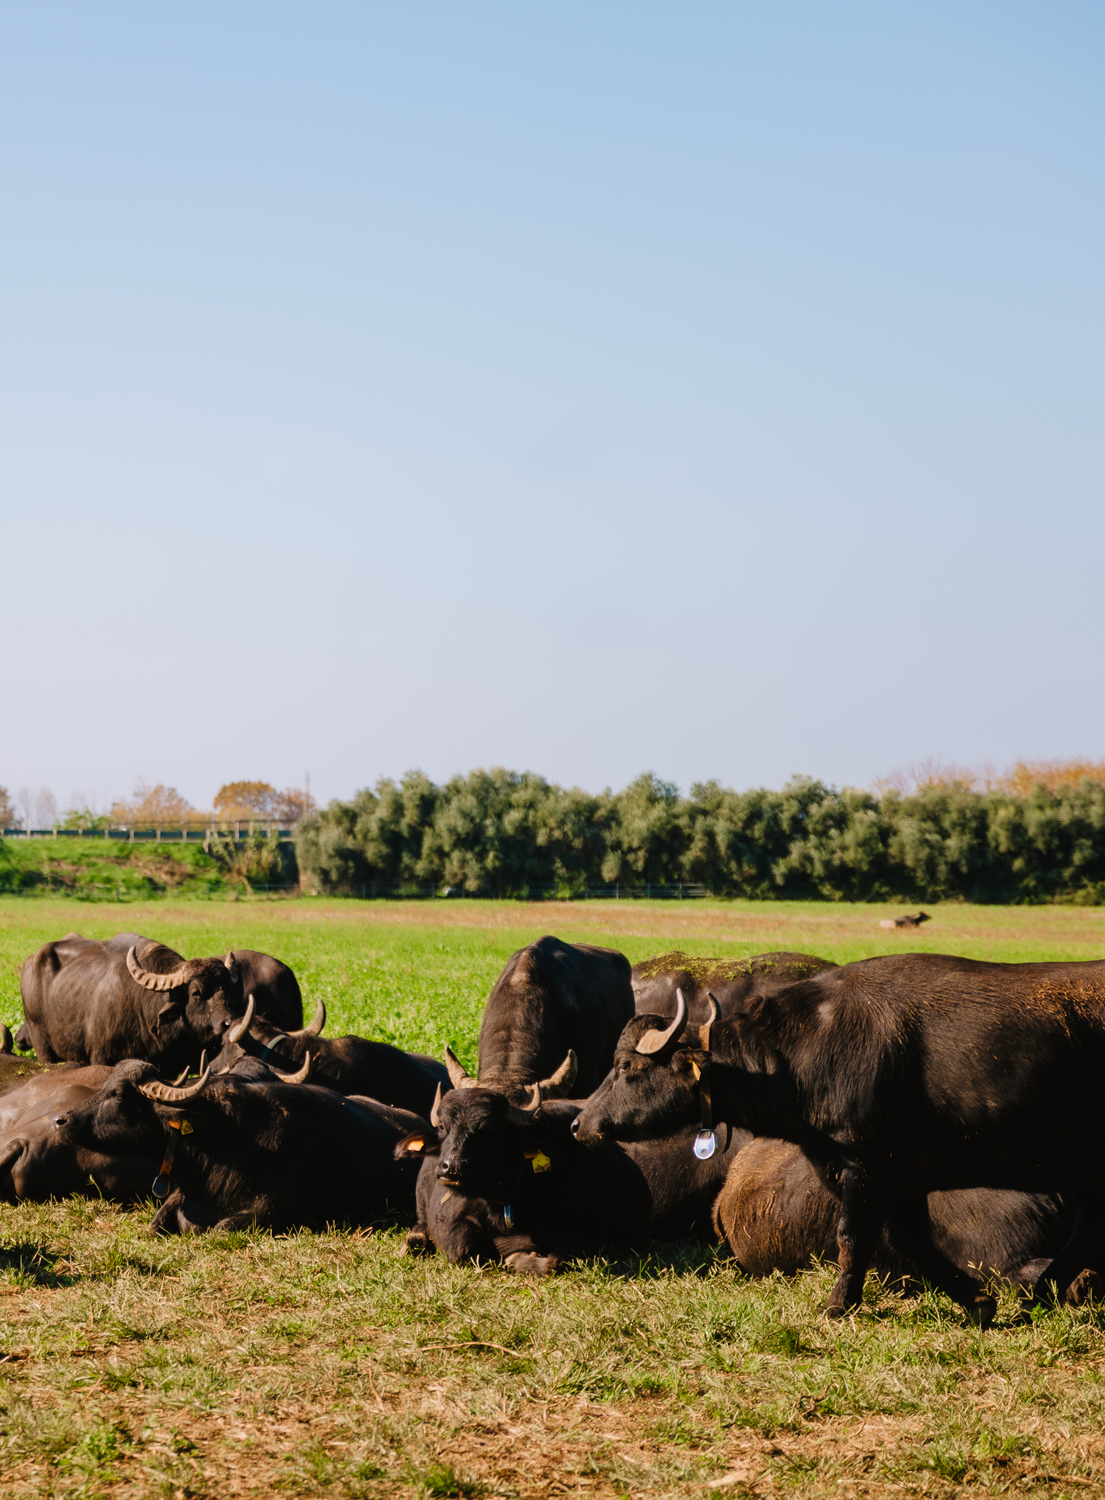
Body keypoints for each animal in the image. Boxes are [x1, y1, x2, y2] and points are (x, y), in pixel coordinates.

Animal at [573, 956, 1105, 1326]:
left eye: (627, 1067)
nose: (580, 1125)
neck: (805, 1053)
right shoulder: (898, 1178)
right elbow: (910, 1239)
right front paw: (977, 1302)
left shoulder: (866, 1165)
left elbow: (855, 1236)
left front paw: (837, 1304)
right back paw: (1044, 1296)